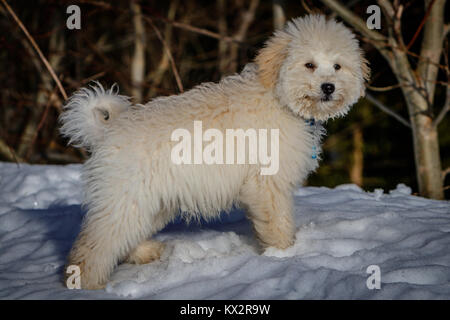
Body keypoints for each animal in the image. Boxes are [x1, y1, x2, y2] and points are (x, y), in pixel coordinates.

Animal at [59, 15, 370, 290]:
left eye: (337, 66)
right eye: (309, 64)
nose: (328, 87)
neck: (279, 98)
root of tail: (107, 131)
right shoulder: (267, 185)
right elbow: (278, 222)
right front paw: (285, 255)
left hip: (150, 203)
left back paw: (145, 253)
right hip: (125, 200)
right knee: (94, 246)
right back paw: (86, 284)